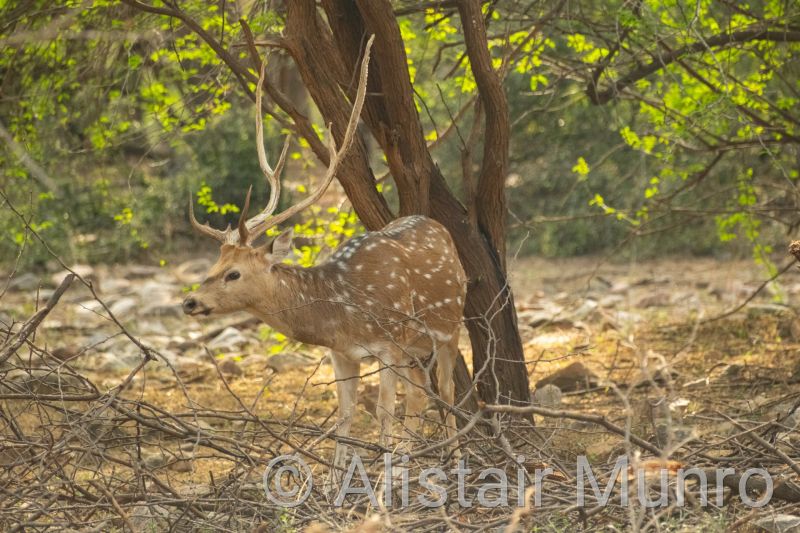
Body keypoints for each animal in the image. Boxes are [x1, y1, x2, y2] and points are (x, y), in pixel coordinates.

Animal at [181, 36, 467, 477]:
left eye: (234, 274)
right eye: (214, 265)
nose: (190, 301)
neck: (340, 312)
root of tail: (437, 226)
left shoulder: (388, 346)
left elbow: (384, 413)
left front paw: (382, 487)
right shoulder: (342, 354)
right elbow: (345, 418)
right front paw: (337, 486)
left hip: (449, 327)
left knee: (448, 391)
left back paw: (451, 463)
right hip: (416, 351)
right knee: (421, 397)